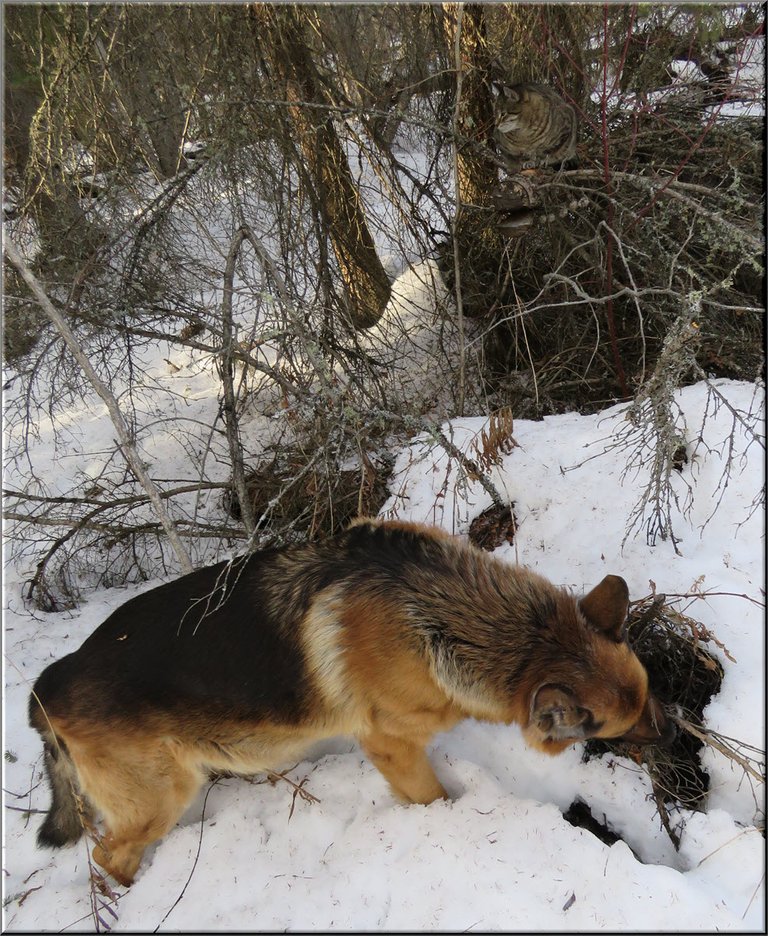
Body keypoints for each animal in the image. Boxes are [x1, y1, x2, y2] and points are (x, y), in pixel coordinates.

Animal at [28, 520, 672, 884]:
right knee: (107, 858)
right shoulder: (392, 746)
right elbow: (432, 797)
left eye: (649, 695)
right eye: (617, 726)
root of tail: (47, 685)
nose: (672, 731)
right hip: (159, 797)